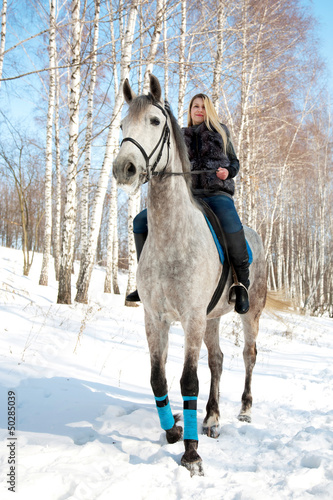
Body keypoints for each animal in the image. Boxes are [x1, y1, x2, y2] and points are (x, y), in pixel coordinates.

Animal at [113, 74, 266, 476]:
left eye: (154, 121)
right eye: (122, 125)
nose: (124, 168)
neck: (172, 235)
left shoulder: (192, 318)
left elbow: (188, 380)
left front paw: (192, 454)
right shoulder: (156, 317)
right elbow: (158, 378)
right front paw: (173, 431)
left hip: (249, 315)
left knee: (248, 355)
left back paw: (245, 409)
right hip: (213, 317)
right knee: (218, 360)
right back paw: (211, 418)